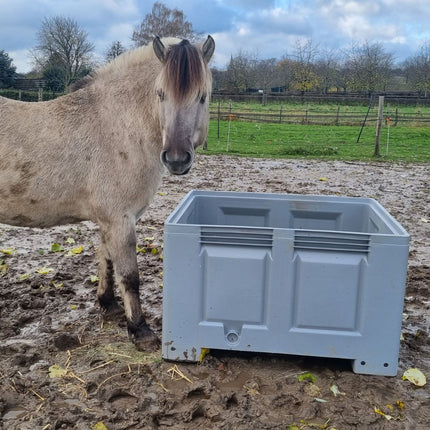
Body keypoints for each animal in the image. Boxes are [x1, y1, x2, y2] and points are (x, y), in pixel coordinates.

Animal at [0, 34, 215, 350]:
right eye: (160, 94)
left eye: (202, 96)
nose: (176, 159)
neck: (117, 127)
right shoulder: (120, 219)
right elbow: (130, 276)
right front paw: (140, 329)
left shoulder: (109, 220)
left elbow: (107, 261)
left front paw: (108, 304)